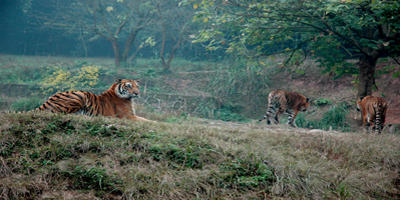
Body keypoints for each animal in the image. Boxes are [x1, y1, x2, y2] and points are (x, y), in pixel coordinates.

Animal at [6, 77, 153, 122]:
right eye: (128, 86)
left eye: (137, 86)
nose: (137, 93)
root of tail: (49, 99)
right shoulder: (128, 116)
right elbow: (147, 121)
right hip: (80, 95)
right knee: (63, 113)